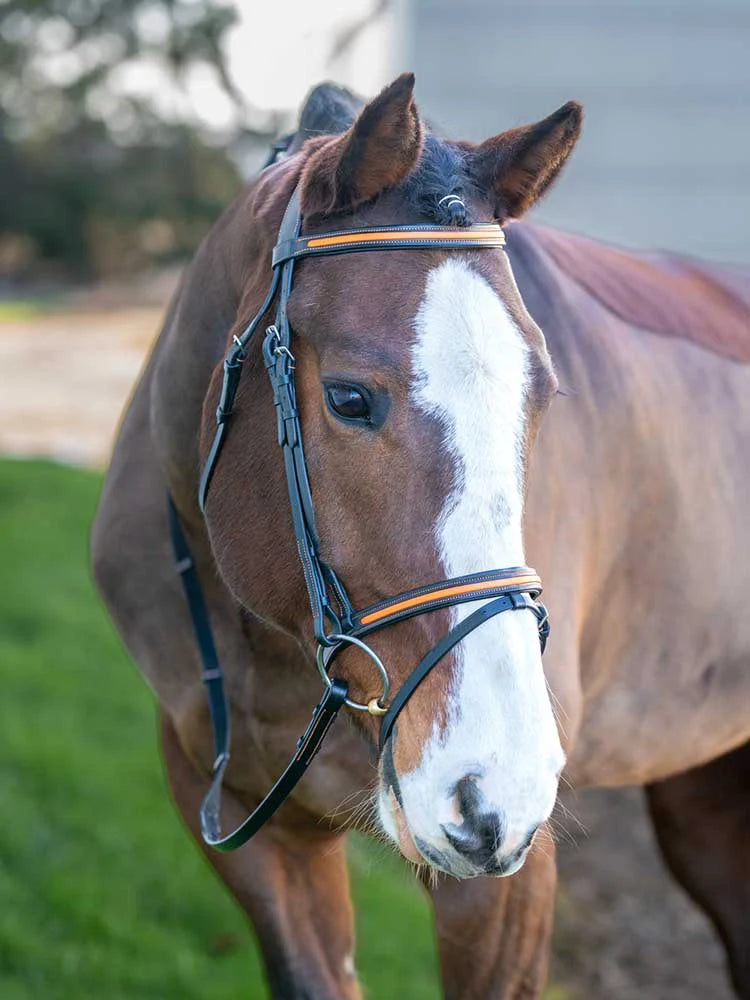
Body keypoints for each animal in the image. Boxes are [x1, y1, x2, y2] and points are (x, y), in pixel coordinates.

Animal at [91, 74, 750, 999]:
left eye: (543, 393)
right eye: (349, 398)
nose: (495, 784)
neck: (273, 645)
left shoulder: (507, 878)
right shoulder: (251, 828)